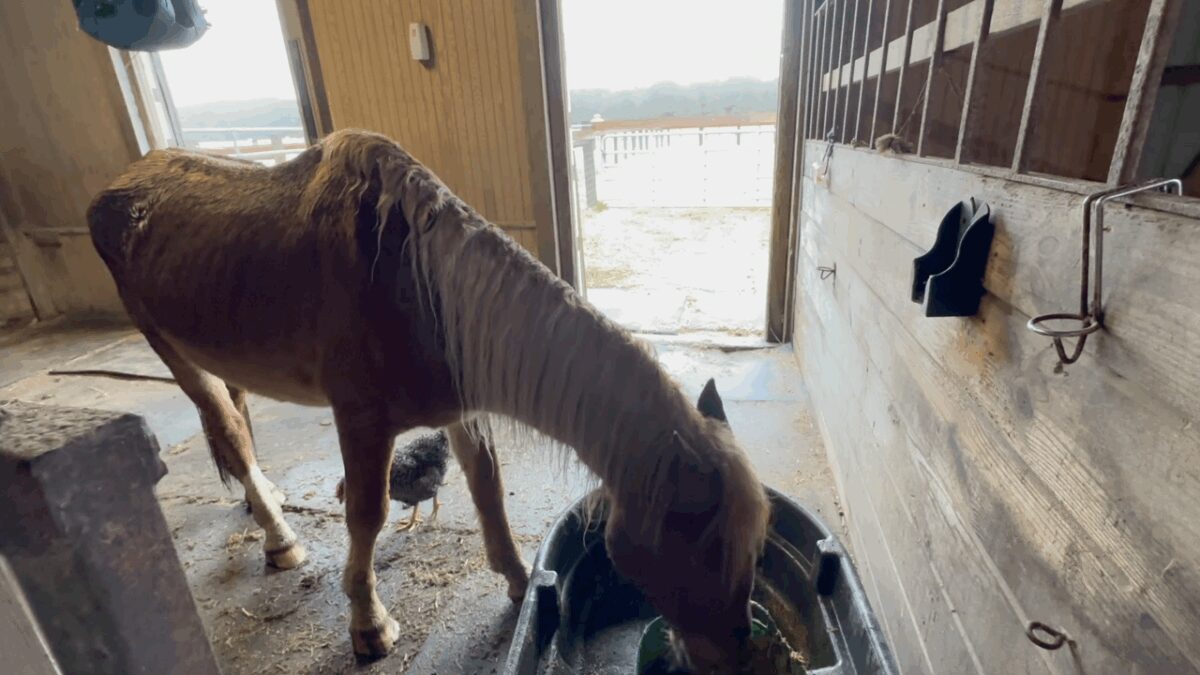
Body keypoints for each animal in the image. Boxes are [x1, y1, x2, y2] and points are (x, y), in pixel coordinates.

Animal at [87, 129, 770, 672]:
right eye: (703, 549)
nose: (737, 660)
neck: (418, 288)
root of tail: (116, 187)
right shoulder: (362, 420)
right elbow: (367, 514)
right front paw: (368, 625)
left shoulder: (463, 413)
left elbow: (488, 489)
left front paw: (521, 583)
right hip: (169, 348)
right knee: (225, 426)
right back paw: (280, 537)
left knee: (237, 420)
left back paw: (265, 506)